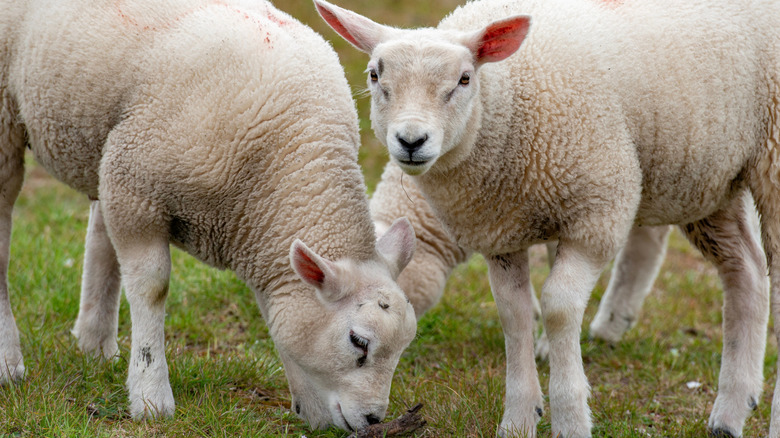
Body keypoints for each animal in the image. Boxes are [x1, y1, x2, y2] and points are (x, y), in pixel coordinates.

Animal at [0, 0, 419, 431]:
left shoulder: (131, 179)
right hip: (12, 115)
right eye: (359, 342)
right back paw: (10, 363)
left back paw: (95, 346)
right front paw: (151, 397)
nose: (373, 419)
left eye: (404, 345)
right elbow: (152, 286)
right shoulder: (138, 187)